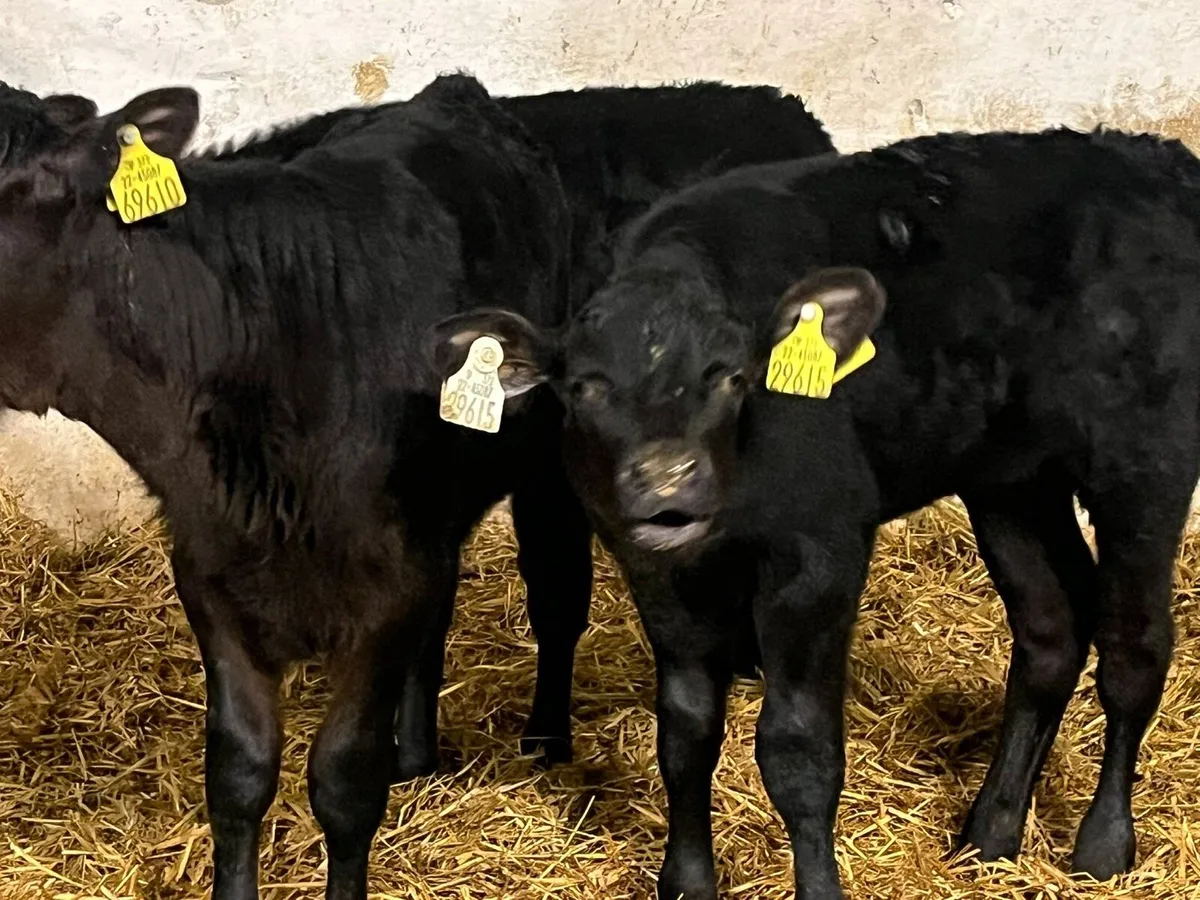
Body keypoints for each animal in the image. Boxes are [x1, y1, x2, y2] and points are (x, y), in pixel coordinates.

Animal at [0, 74, 577, 900]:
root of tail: (453, 89)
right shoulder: (208, 569)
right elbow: (238, 772)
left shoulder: (391, 584)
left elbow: (345, 780)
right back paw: (417, 754)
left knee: (554, 592)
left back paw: (543, 738)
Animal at [431, 129, 1200, 899]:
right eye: (587, 387)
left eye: (730, 378)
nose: (666, 477)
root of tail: (1156, 158)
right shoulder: (655, 569)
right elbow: (685, 730)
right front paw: (687, 879)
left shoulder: (817, 556)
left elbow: (798, 748)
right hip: (1012, 480)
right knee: (1050, 631)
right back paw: (991, 832)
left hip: (1145, 464)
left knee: (1134, 650)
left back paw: (1103, 844)